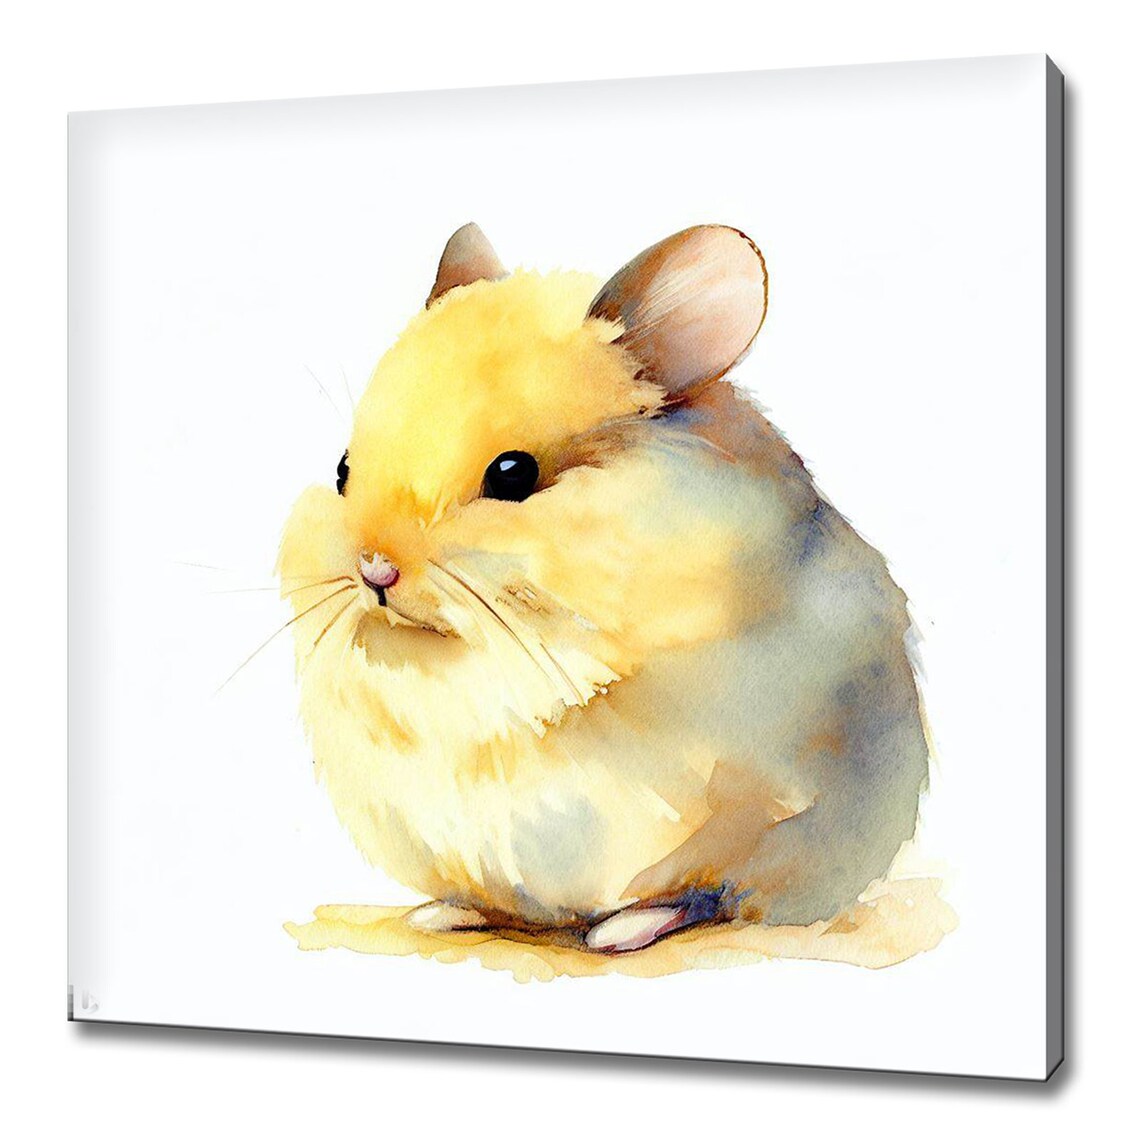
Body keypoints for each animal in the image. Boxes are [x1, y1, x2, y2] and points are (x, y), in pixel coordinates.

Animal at [279, 223, 928, 953]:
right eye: (342, 469)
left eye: (512, 473)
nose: (375, 571)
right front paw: (440, 912)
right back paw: (445, 913)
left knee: (708, 894)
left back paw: (621, 930)